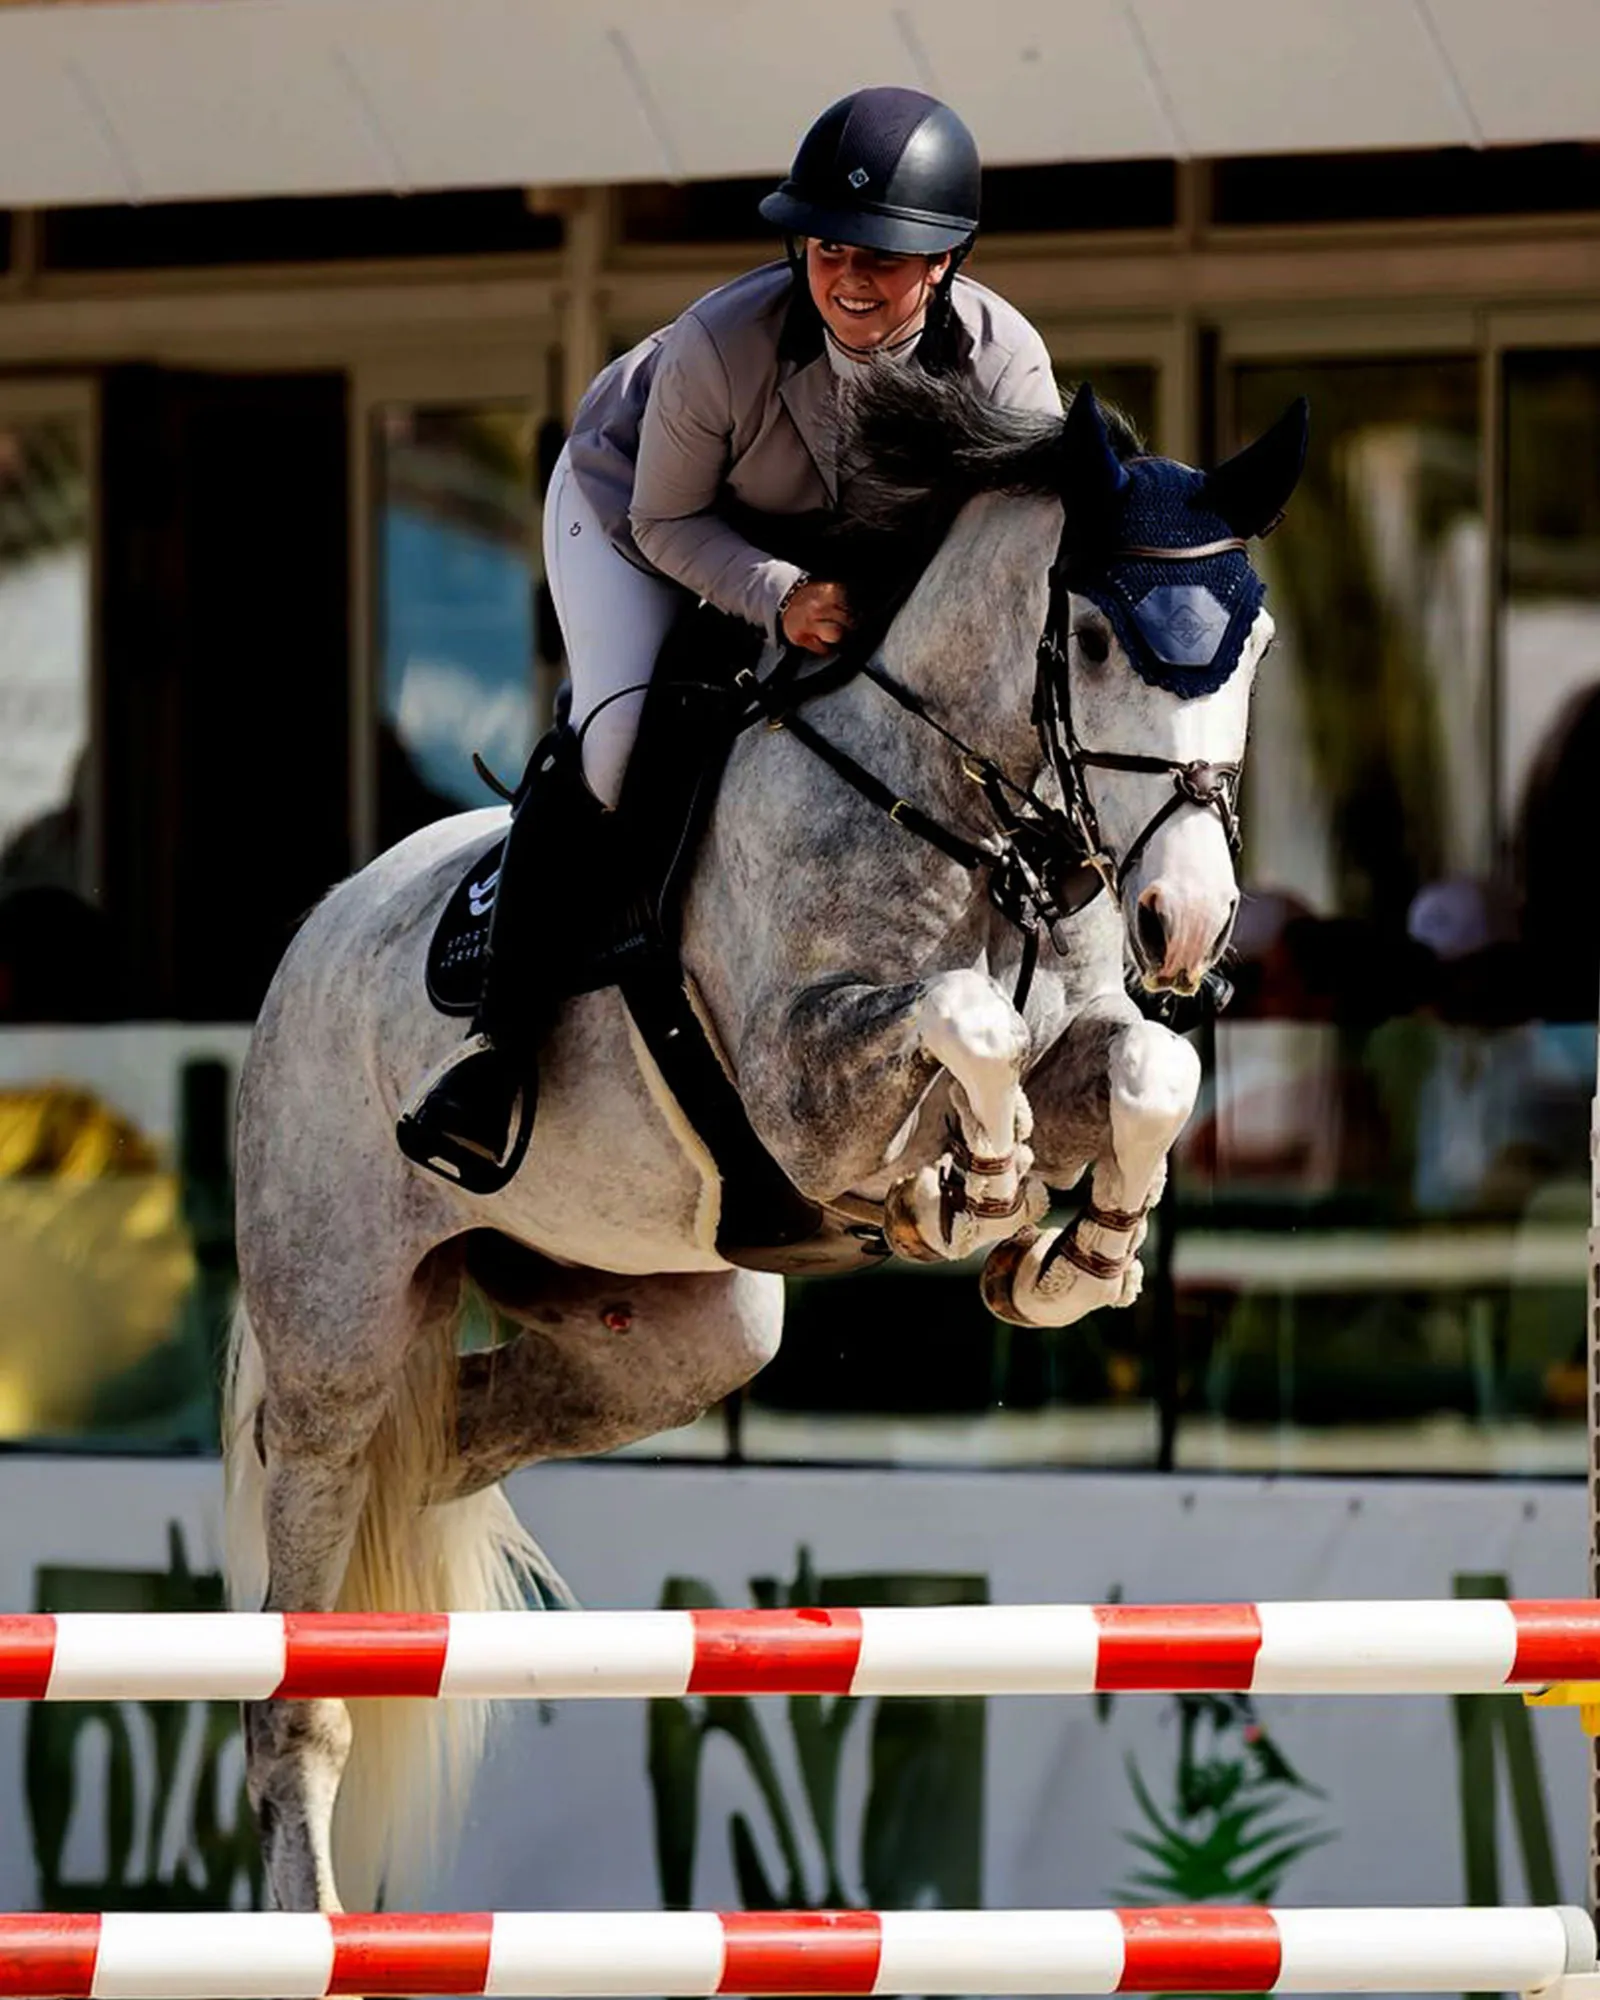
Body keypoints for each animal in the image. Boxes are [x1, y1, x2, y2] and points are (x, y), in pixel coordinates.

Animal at [224, 379, 1308, 1914]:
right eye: (1096, 639)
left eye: (1255, 643)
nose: (1191, 928)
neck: (971, 818)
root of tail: (315, 935)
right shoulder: (806, 1089)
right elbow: (965, 1019)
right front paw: (973, 1192)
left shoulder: (1088, 1039)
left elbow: (1150, 1066)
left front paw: (1070, 1261)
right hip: (336, 1329)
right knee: (300, 1665)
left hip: (680, 1331)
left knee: (439, 1459)